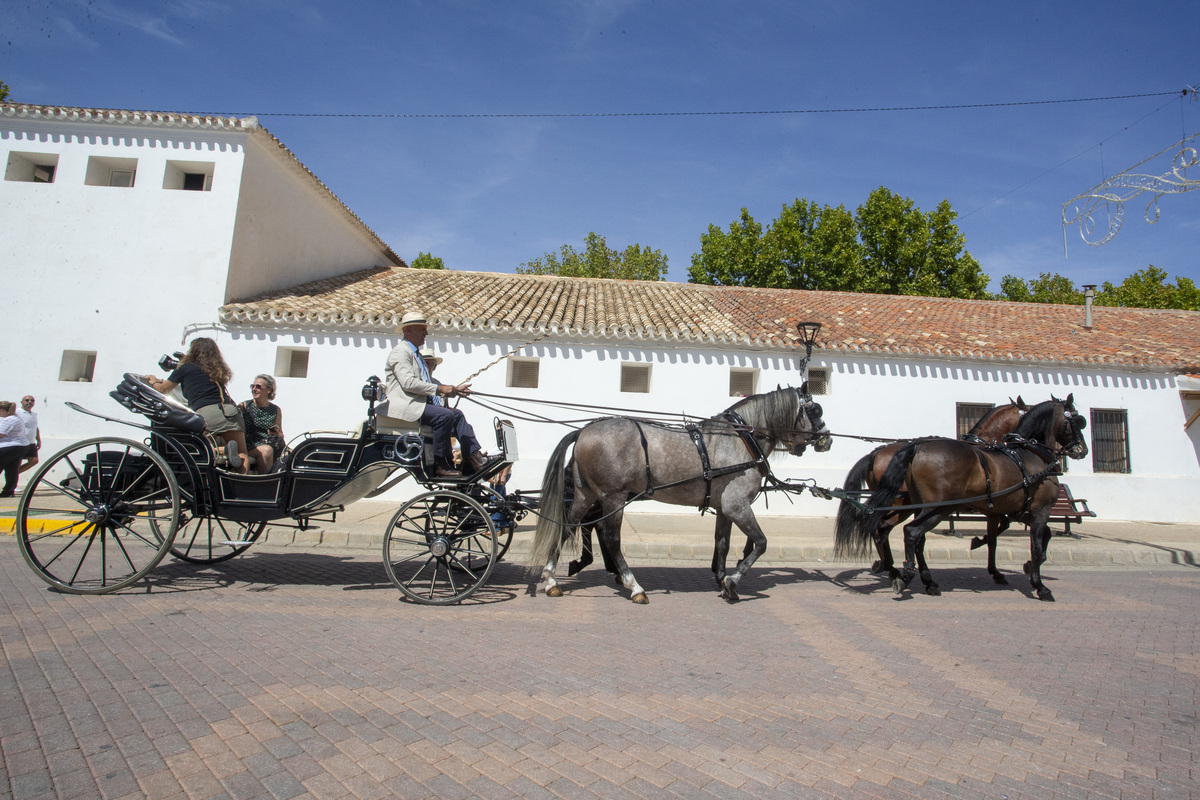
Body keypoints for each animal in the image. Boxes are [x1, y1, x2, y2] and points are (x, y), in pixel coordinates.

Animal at [530, 383, 830, 604]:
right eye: (815, 410)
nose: (827, 439)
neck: (741, 439)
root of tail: (584, 430)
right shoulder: (737, 505)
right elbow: (761, 543)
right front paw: (732, 581)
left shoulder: (724, 508)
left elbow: (722, 543)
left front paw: (722, 580)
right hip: (613, 496)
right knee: (611, 538)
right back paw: (634, 586)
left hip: (586, 495)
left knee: (567, 526)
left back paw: (551, 579)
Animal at [835, 398, 1089, 604]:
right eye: (1077, 421)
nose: (1082, 450)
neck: (1029, 453)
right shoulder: (1034, 511)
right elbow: (1026, 544)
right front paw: (1036, 584)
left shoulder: (1010, 510)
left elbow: (1020, 537)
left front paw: (1010, 565)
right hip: (930, 507)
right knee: (904, 532)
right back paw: (903, 573)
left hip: (915, 505)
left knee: (892, 530)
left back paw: (901, 572)